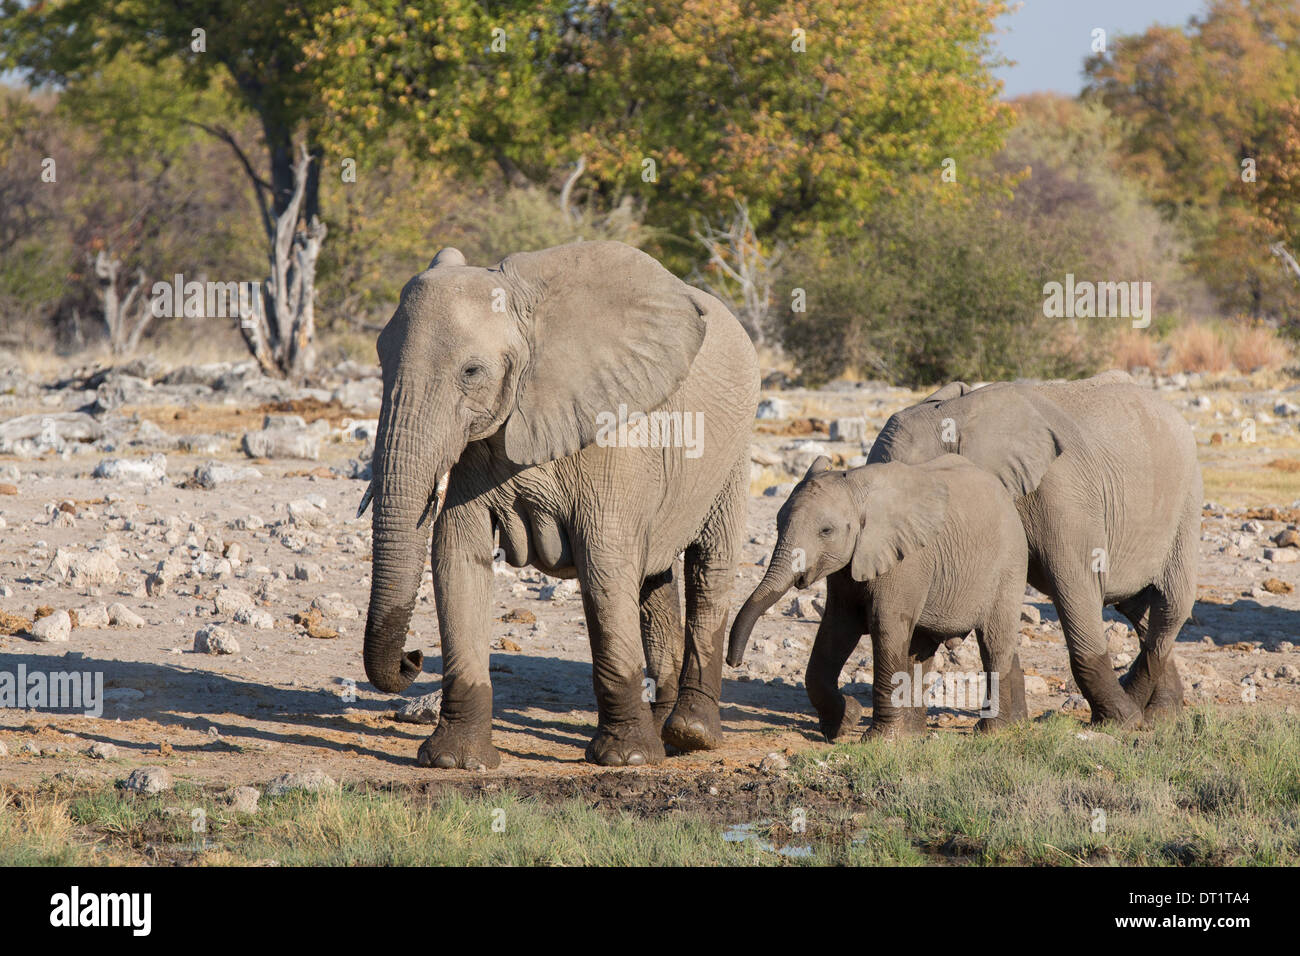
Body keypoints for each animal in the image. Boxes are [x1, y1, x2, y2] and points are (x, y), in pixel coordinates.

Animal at [361, 240, 759, 770]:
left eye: (471, 372)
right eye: (382, 363)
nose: (412, 658)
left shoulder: (615, 432)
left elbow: (605, 564)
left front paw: (626, 759)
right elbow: (457, 560)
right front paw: (455, 762)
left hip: (733, 449)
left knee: (709, 565)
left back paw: (691, 734)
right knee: (653, 579)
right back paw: (663, 729)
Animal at [733, 455, 1024, 738]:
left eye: (826, 531)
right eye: (778, 523)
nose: (733, 662)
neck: (856, 488)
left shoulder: (905, 561)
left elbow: (886, 628)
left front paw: (879, 739)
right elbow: (837, 628)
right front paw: (844, 722)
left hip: (1009, 567)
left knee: (994, 643)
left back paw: (989, 732)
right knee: (920, 650)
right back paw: (914, 735)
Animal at [868, 371, 1201, 723]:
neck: (957, 415)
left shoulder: (1064, 492)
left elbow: (1077, 583)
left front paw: (1121, 723)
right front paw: (1013, 723)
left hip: (1187, 499)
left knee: (1170, 604)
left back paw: (1146, 710)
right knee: (1138, 608)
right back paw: (1161, 708)